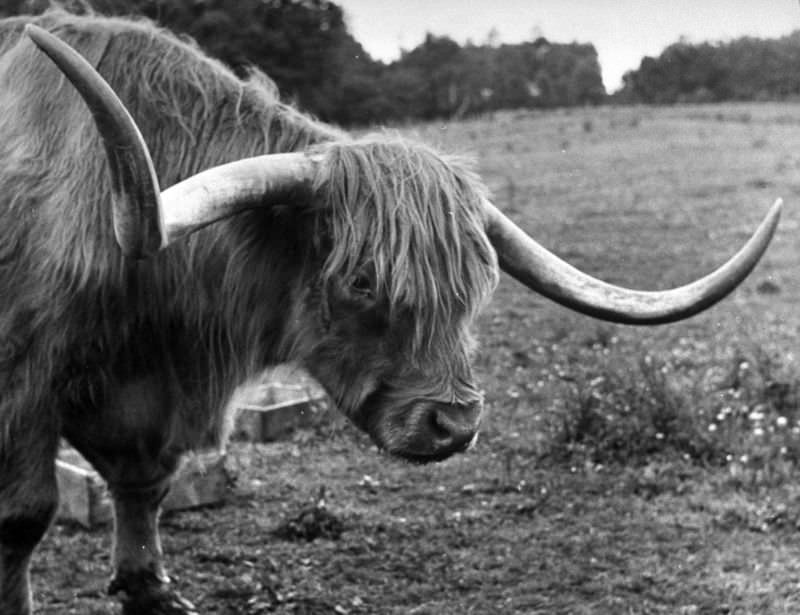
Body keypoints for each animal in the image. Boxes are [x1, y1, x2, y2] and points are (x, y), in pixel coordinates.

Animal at [0, 9, 780, 615]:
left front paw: (150, 588)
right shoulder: (24, 386)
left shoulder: (146, 402)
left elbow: (144, 486)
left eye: (474, 289)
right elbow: (26, 511)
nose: (454, 424)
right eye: (362, 280)